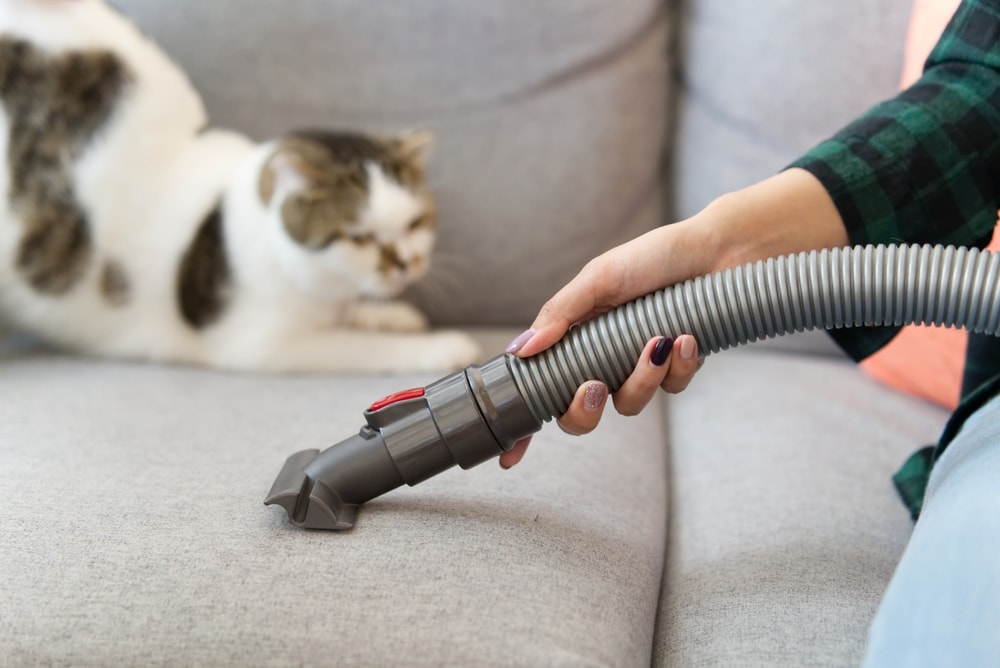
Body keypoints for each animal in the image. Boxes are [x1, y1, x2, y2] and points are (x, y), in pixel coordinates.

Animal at [0, 0, 480, 374]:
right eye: (359, 237)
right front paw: (440, 345)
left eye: (416, 223)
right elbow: (359, 347)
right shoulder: (260, 343)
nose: (407, 265)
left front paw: (390, 314)